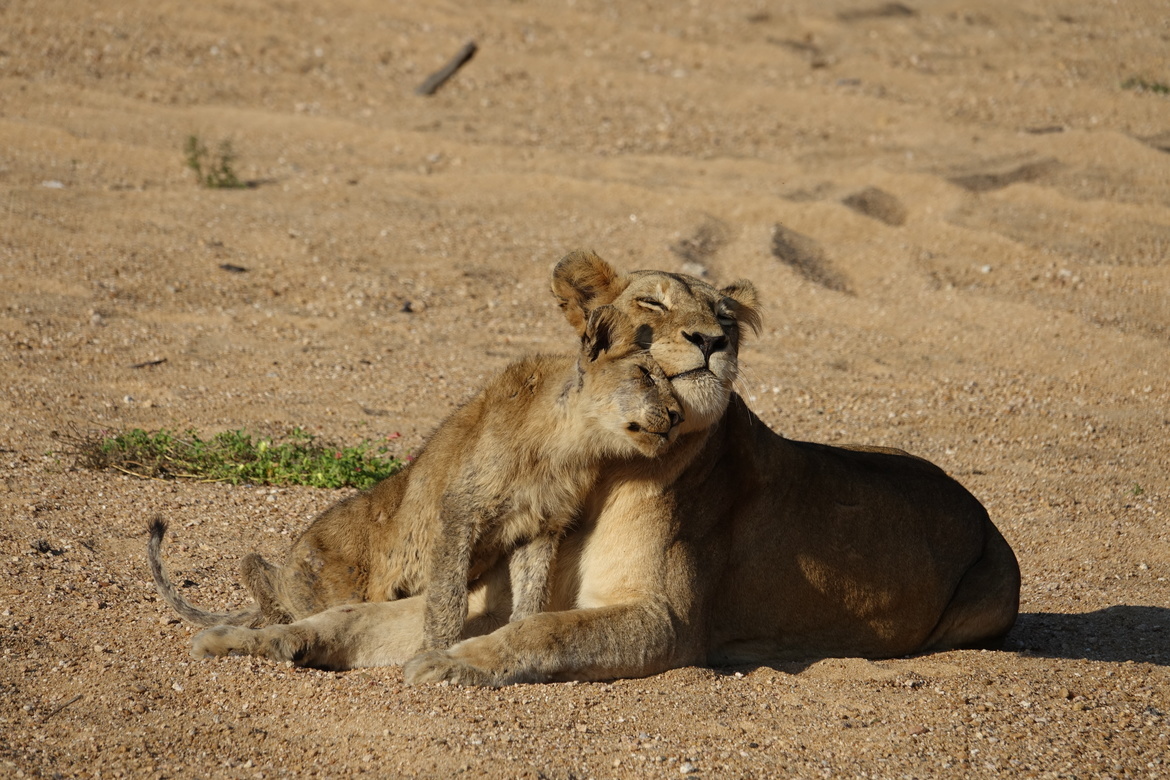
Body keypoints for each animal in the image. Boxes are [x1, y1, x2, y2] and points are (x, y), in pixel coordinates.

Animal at [151, 304, 684, 652]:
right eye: (644, 374)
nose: (679, 415)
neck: (570, 444)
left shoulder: (540, 528)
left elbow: (531, 595)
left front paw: (517, 633)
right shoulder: (459, 513)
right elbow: (448, 598)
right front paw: (436, 651)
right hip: (314, 580)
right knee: (264, 583)